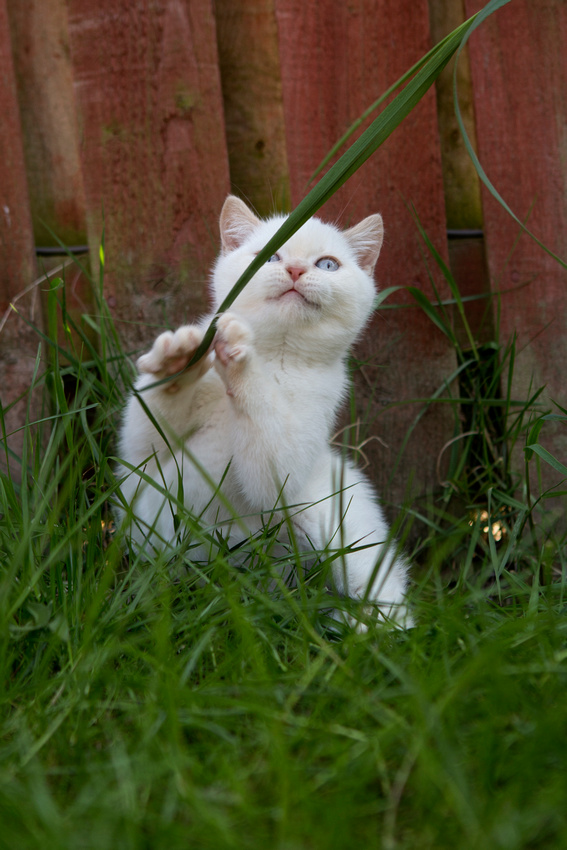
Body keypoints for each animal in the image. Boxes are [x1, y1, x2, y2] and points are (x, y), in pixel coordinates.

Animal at [117, 195, 412, 628]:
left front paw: (242, 355)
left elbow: (269, 466)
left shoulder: (293, 450)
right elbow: (150, 432)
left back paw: (367, 630)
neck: (275, 353)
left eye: (327, 265)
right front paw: (179, 358)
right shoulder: (142, 460)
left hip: (337, 519)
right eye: (270, 256)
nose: (295, 269)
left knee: (381, 595)